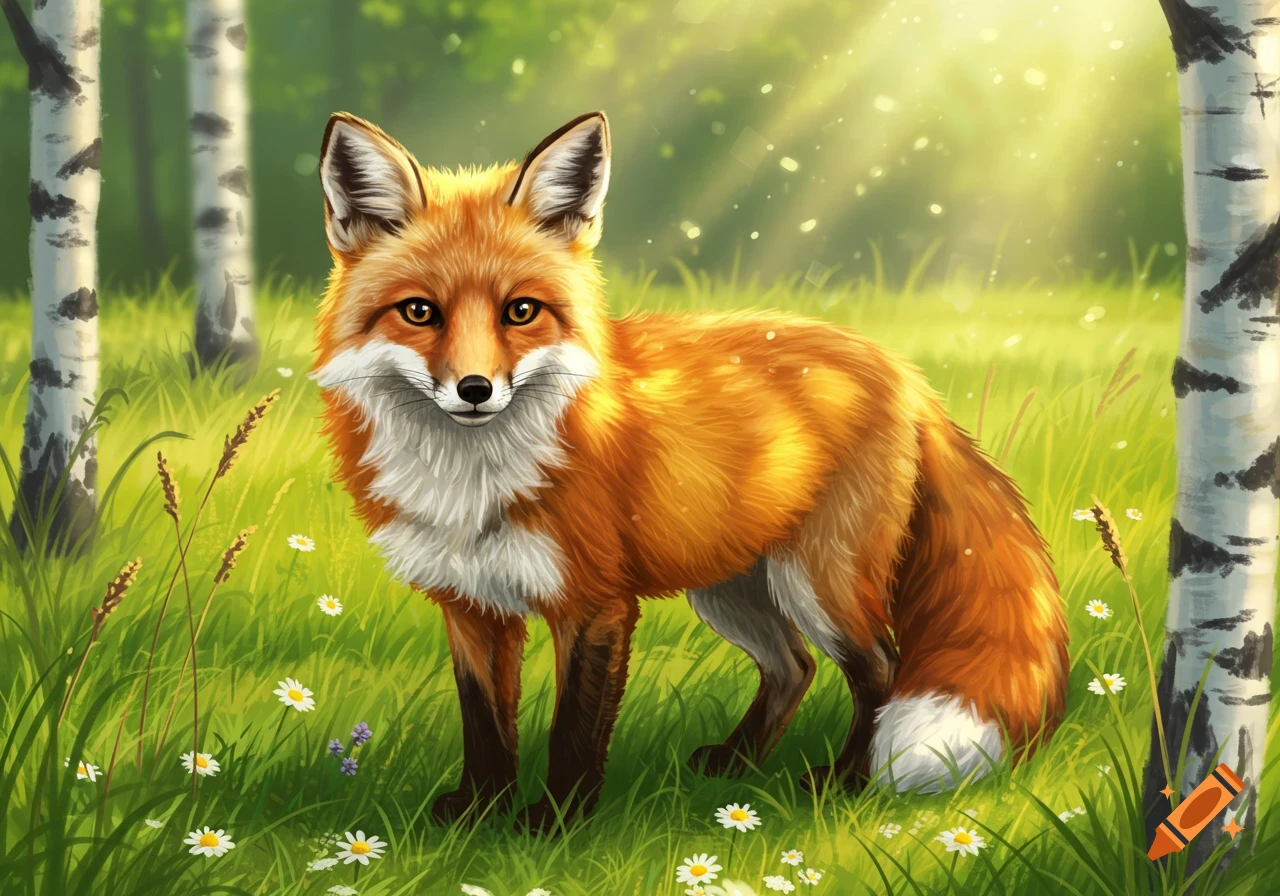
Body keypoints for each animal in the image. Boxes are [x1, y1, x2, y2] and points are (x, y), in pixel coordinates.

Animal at [310, 110, 1069, 833]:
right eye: (419, 312)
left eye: (520, 311)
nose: (474, 389)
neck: (473, 484)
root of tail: (902, 370)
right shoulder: (471, 604)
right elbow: (487, 726)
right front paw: (478, 814)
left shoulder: (596, 602)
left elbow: (572, 731)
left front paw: (554, 824)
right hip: (731, 585)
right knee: (793, 667)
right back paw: (738, 762)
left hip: (818, 581)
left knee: (880, 666)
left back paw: (844, 781)